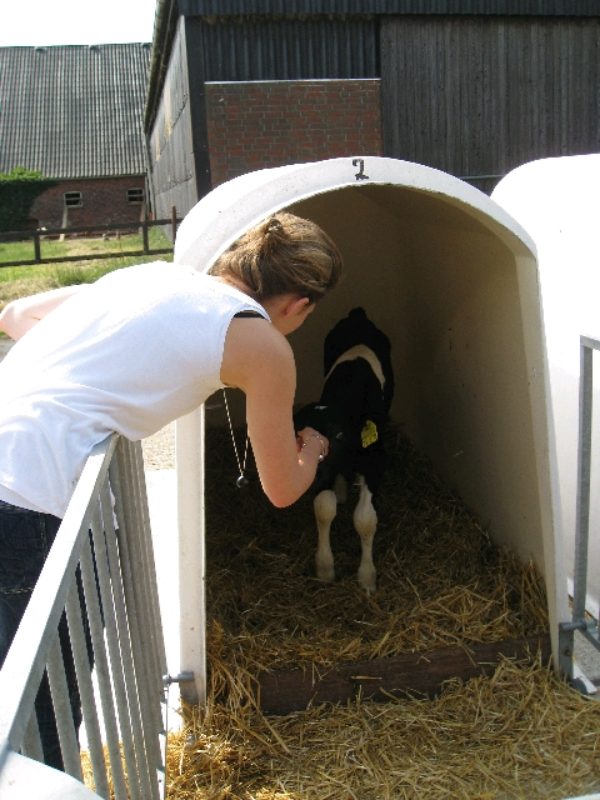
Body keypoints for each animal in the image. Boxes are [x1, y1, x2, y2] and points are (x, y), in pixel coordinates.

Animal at [295, 307, 394, 595]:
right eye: (298, 435)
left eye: (339, 435)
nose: (308, 475)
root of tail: (357, 315)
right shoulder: (326, 473)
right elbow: (323, 508)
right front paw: (325, 567)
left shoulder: (375, 459)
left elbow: (365, 519)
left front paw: (367, 577)